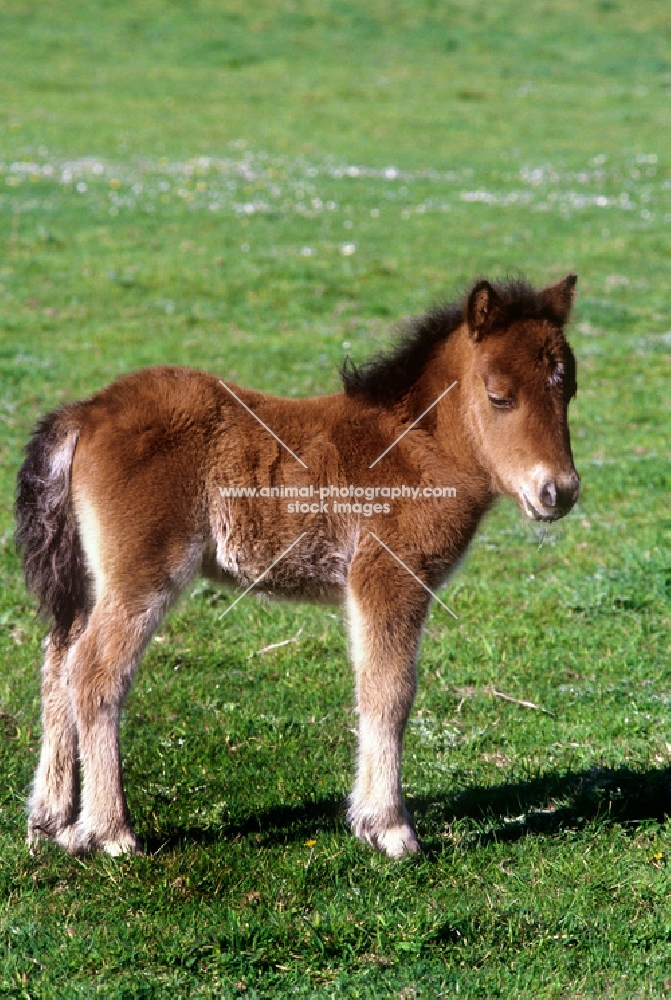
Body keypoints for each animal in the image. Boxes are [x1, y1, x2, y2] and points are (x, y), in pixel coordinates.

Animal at [18, 276, 580, 860]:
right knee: (94, 671)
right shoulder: (388, 576)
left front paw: (367, 819)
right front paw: (390, 828)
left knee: (58, 663)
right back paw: (111, 831)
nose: (558, 492)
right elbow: (389, 691)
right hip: (142, 573)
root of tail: (89, 411)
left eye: (569, 390)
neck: (416, 447)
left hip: (90, 577)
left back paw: (53, 822)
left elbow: (371, 684)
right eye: (500, 397)